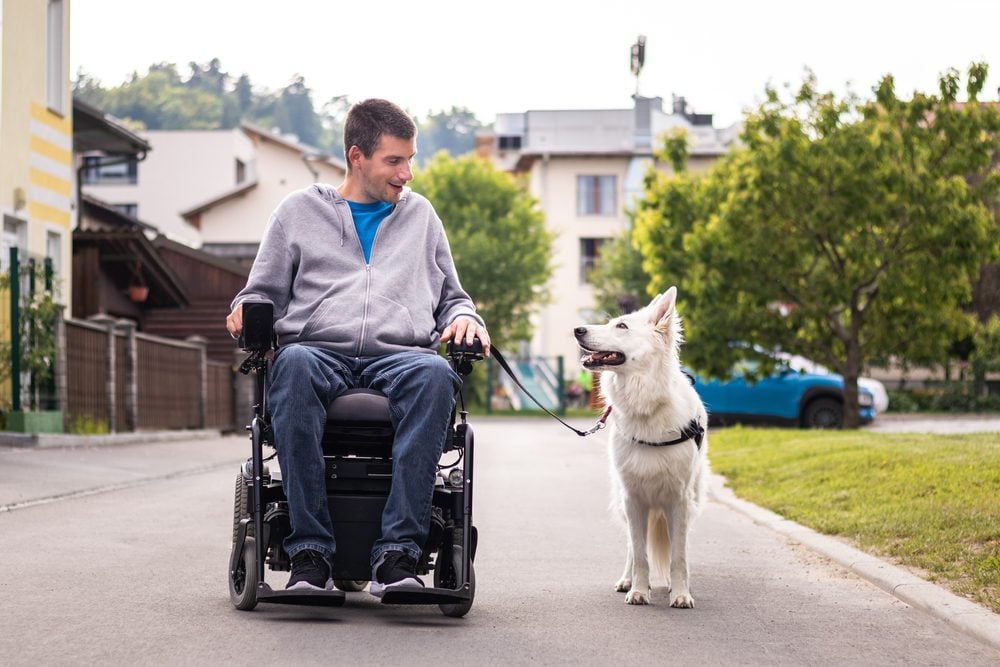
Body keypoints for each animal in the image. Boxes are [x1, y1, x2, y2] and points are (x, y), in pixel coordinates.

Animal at [576, 288, 708, 612]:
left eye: (621, 326)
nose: (577, 330)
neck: (646, 403)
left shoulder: (679, 501)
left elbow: (679, 555)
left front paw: (681, 593)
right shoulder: (633, 499)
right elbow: (639, 553)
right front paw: (638, 590)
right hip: (627, 505)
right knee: (632, 548)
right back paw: (627, 580)